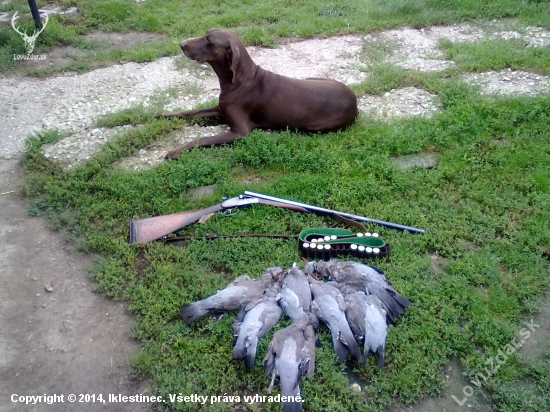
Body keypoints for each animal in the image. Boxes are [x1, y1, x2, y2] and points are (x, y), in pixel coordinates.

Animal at [157, 29, 360, 159]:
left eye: (209, 41)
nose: (182, 44)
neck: (238, 80)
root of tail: (355, 103)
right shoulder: (221, 109)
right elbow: (189, 112)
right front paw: (164, 115)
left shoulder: (240, 132)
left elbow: (203, 138)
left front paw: (175, 151)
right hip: (313, 78)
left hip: (315, 127)